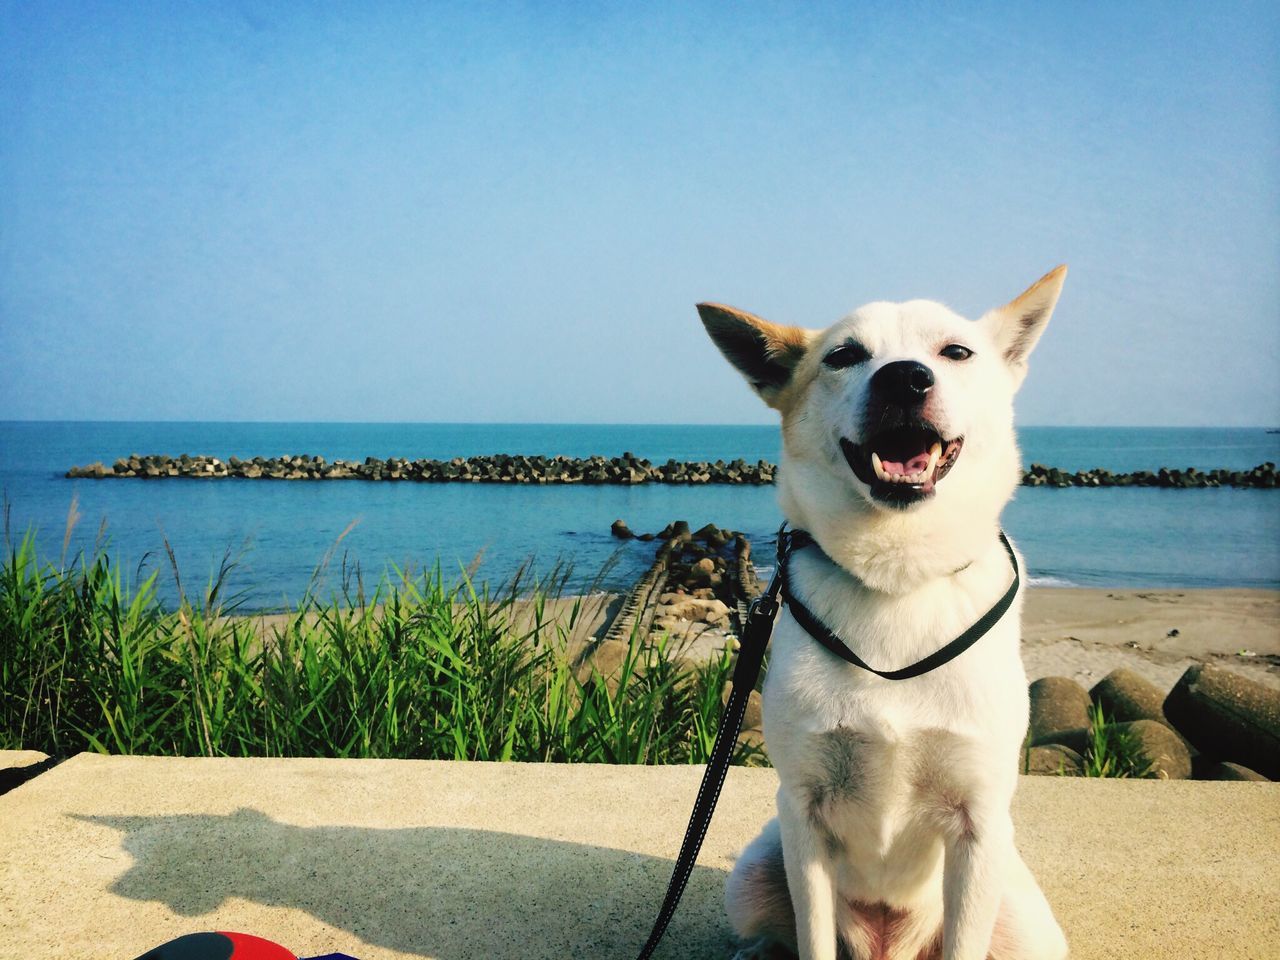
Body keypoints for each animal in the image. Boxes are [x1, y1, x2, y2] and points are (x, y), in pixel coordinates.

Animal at [701, 268, 1070, 960]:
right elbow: (813, 939)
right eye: (844, 356)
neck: (899, 578)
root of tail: (888, 947)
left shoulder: (979, 823)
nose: (904, 378)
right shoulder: (803, 815)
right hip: (757, 868)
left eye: (956, 352)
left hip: (1024, 914)